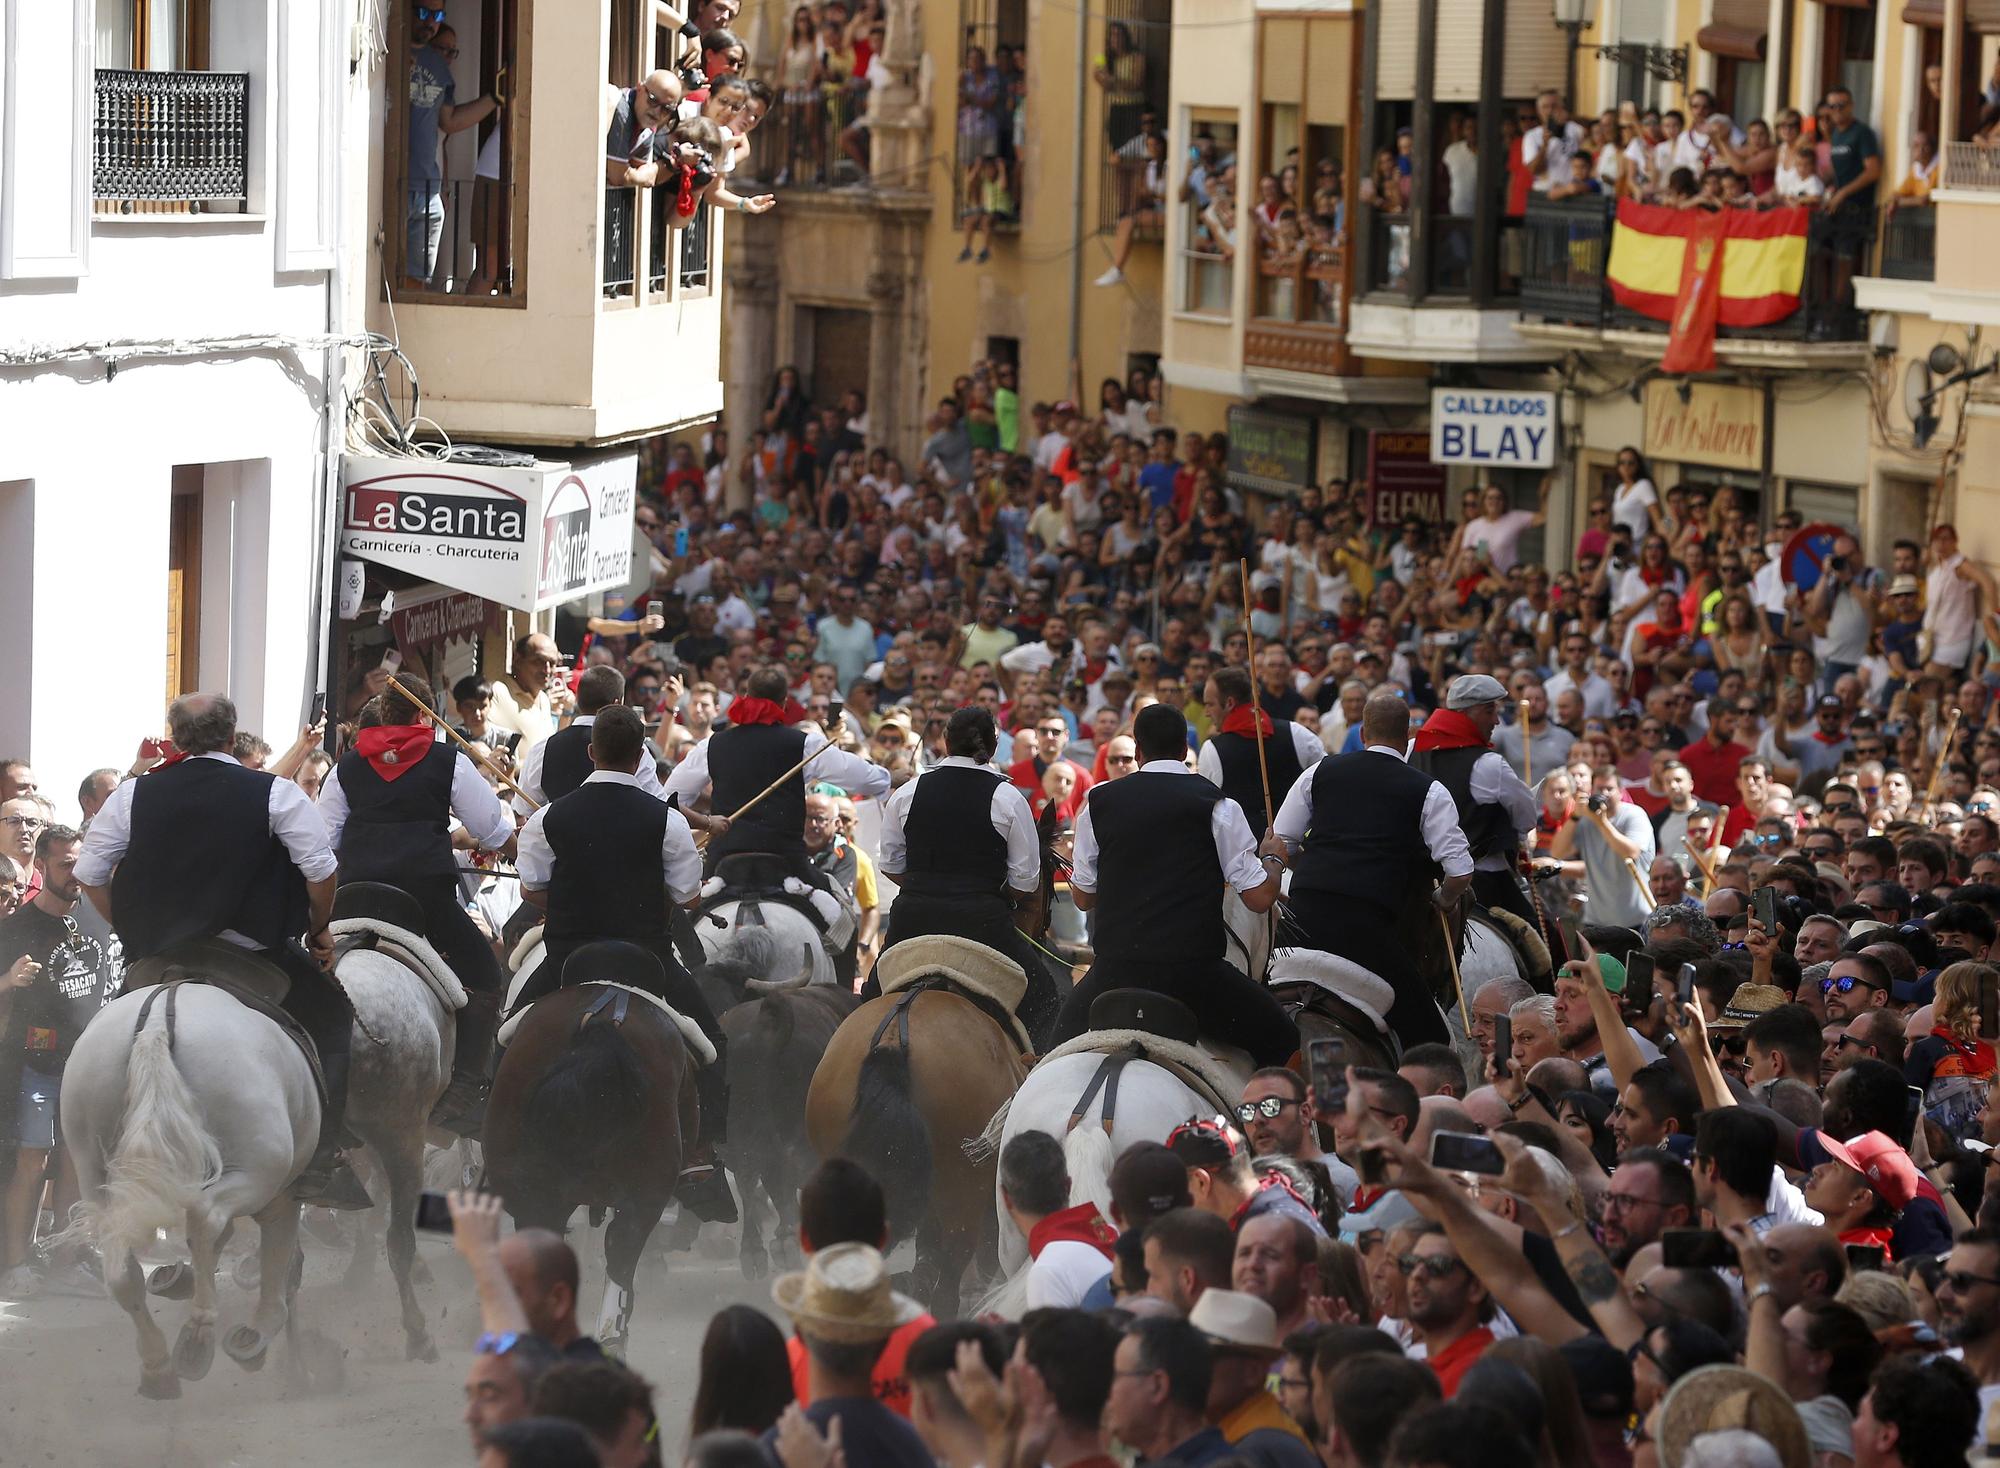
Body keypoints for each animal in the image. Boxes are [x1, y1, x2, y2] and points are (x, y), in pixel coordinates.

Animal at [58, 984, 318, 1400]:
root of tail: (156, 1021)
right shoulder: (283, 1194)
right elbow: (278, 1260)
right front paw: (262, 1337)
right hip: (259, 1170)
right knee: (206, 1217)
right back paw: (200, 1332)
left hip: (92, 1167)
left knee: (123, 1263)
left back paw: (158, 1364)